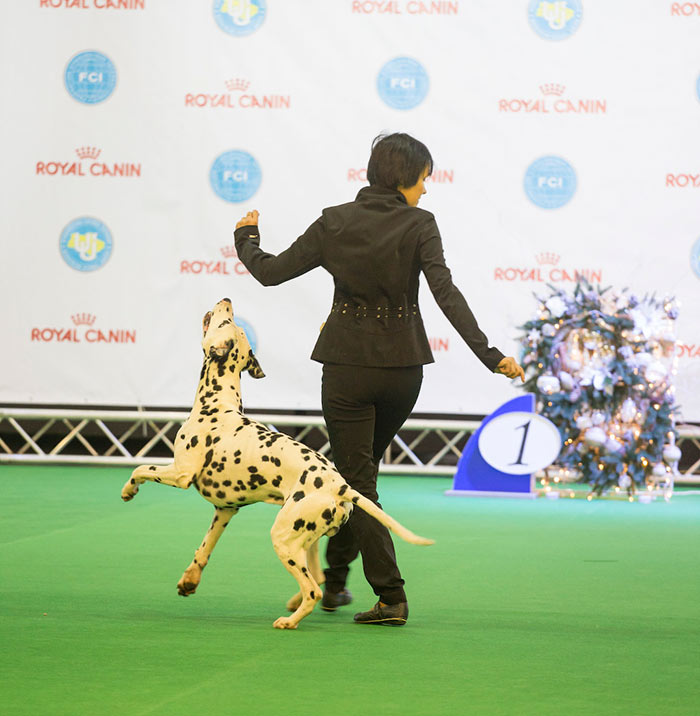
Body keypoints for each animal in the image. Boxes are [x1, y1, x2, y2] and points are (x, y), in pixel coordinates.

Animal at [121, 297, 433, 629]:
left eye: (227, 322)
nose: (226, 300)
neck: (217, 404)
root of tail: (341, 488)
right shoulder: (225, 510)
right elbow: (204, 548)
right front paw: (190, 580)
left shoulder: (181, 473)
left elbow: (141, 469)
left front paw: (129, 490)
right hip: (306, 539)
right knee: (318, 577)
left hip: (283, 538)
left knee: (313, 590)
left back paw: (290, 620)